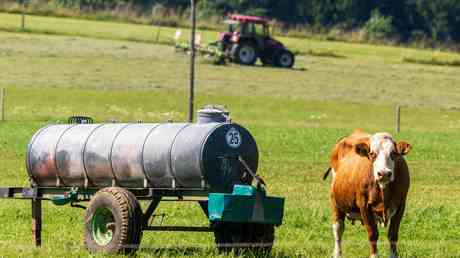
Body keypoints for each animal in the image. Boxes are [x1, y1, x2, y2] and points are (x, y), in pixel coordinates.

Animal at [324, 130, 414, 258]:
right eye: (372, 153)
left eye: (393, 153)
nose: (384, 173)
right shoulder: (364, 206)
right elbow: (372, 234)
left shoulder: (401, 204)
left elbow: (392, 235)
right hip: (335, 202)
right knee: (338, 229)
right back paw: (337, 253)